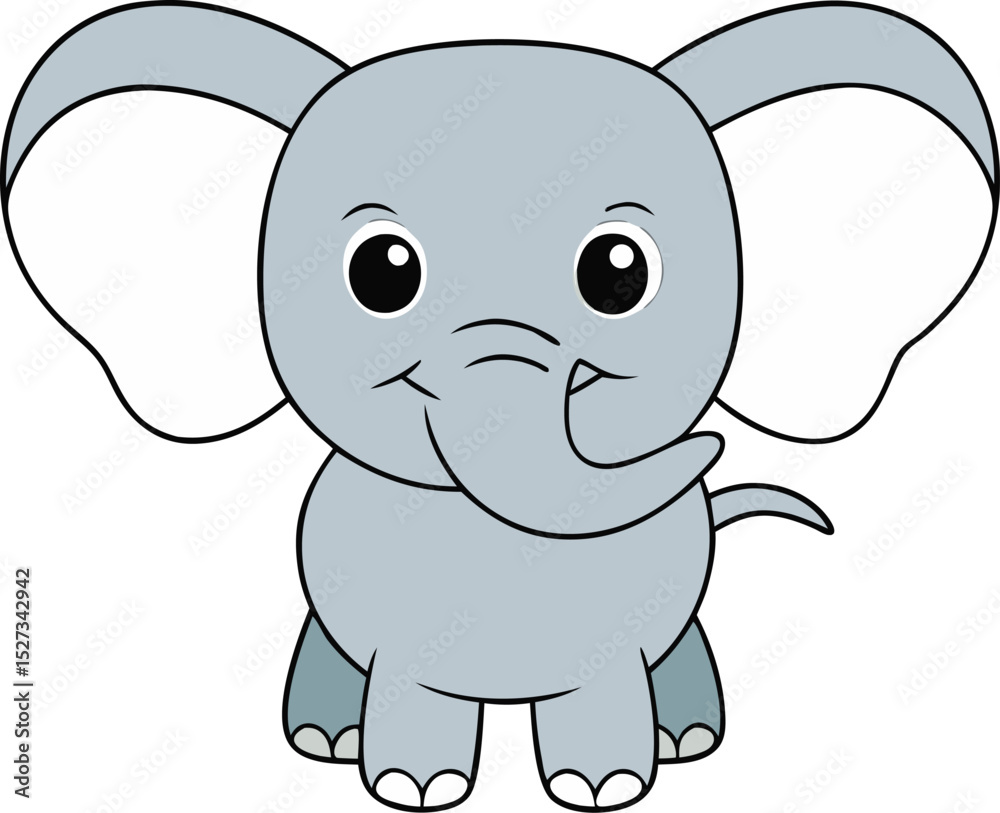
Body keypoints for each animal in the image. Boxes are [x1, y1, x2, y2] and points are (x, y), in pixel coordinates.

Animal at [3, 2, 996, 809]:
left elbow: (605, 682)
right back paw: (325, 739)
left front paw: (603, 786)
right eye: (382, 272)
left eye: (619, 271)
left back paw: (688, 739)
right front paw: (415, 786)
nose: (709, 448)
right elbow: (410, 683)